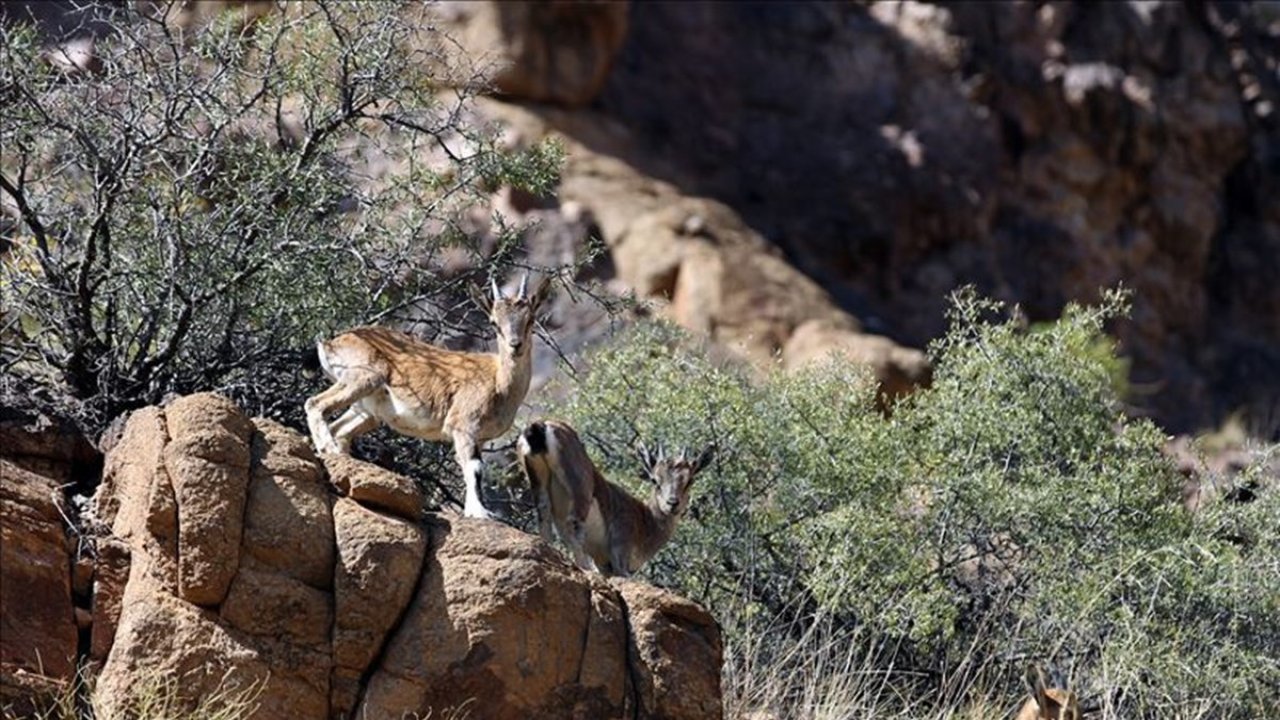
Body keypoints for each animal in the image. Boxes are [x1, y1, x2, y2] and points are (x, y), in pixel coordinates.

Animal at [311, 272, 555, 515]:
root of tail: (332, 343)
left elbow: (474, 470)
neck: (499, 382)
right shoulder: (462, 426)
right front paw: (480, 513)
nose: (515, 345)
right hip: (363, 378)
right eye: (494, 322)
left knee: (340, 429)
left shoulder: (480, 437)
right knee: (316, 404)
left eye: (530, 319)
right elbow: (474, 468)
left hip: (367, 410)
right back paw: (328, 449)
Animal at [512, 417, 711, 573]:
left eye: (690, 481)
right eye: (655, 480)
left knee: (543, 513)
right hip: (580, 489)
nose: (672, 503)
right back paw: (585, 568)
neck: (645, 522)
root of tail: (542, 427)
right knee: (574, 523)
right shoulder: (620, 557)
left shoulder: (605, 564)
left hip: (538, 479)